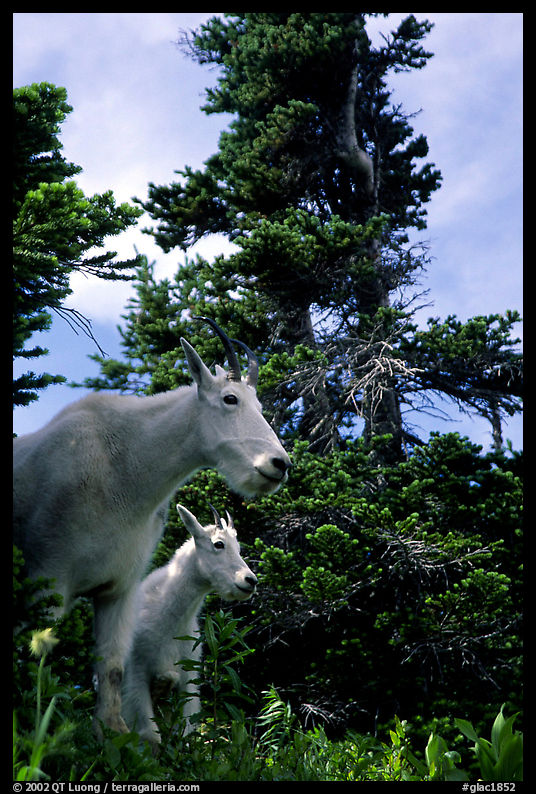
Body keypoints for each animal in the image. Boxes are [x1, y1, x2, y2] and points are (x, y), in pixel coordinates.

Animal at [122, 503, 257, 747]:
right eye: (218, 544)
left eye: (239, 547)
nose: (250, 581)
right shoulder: (136, 674)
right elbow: (150, 736)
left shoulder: (188, 679)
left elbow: (185, 734)